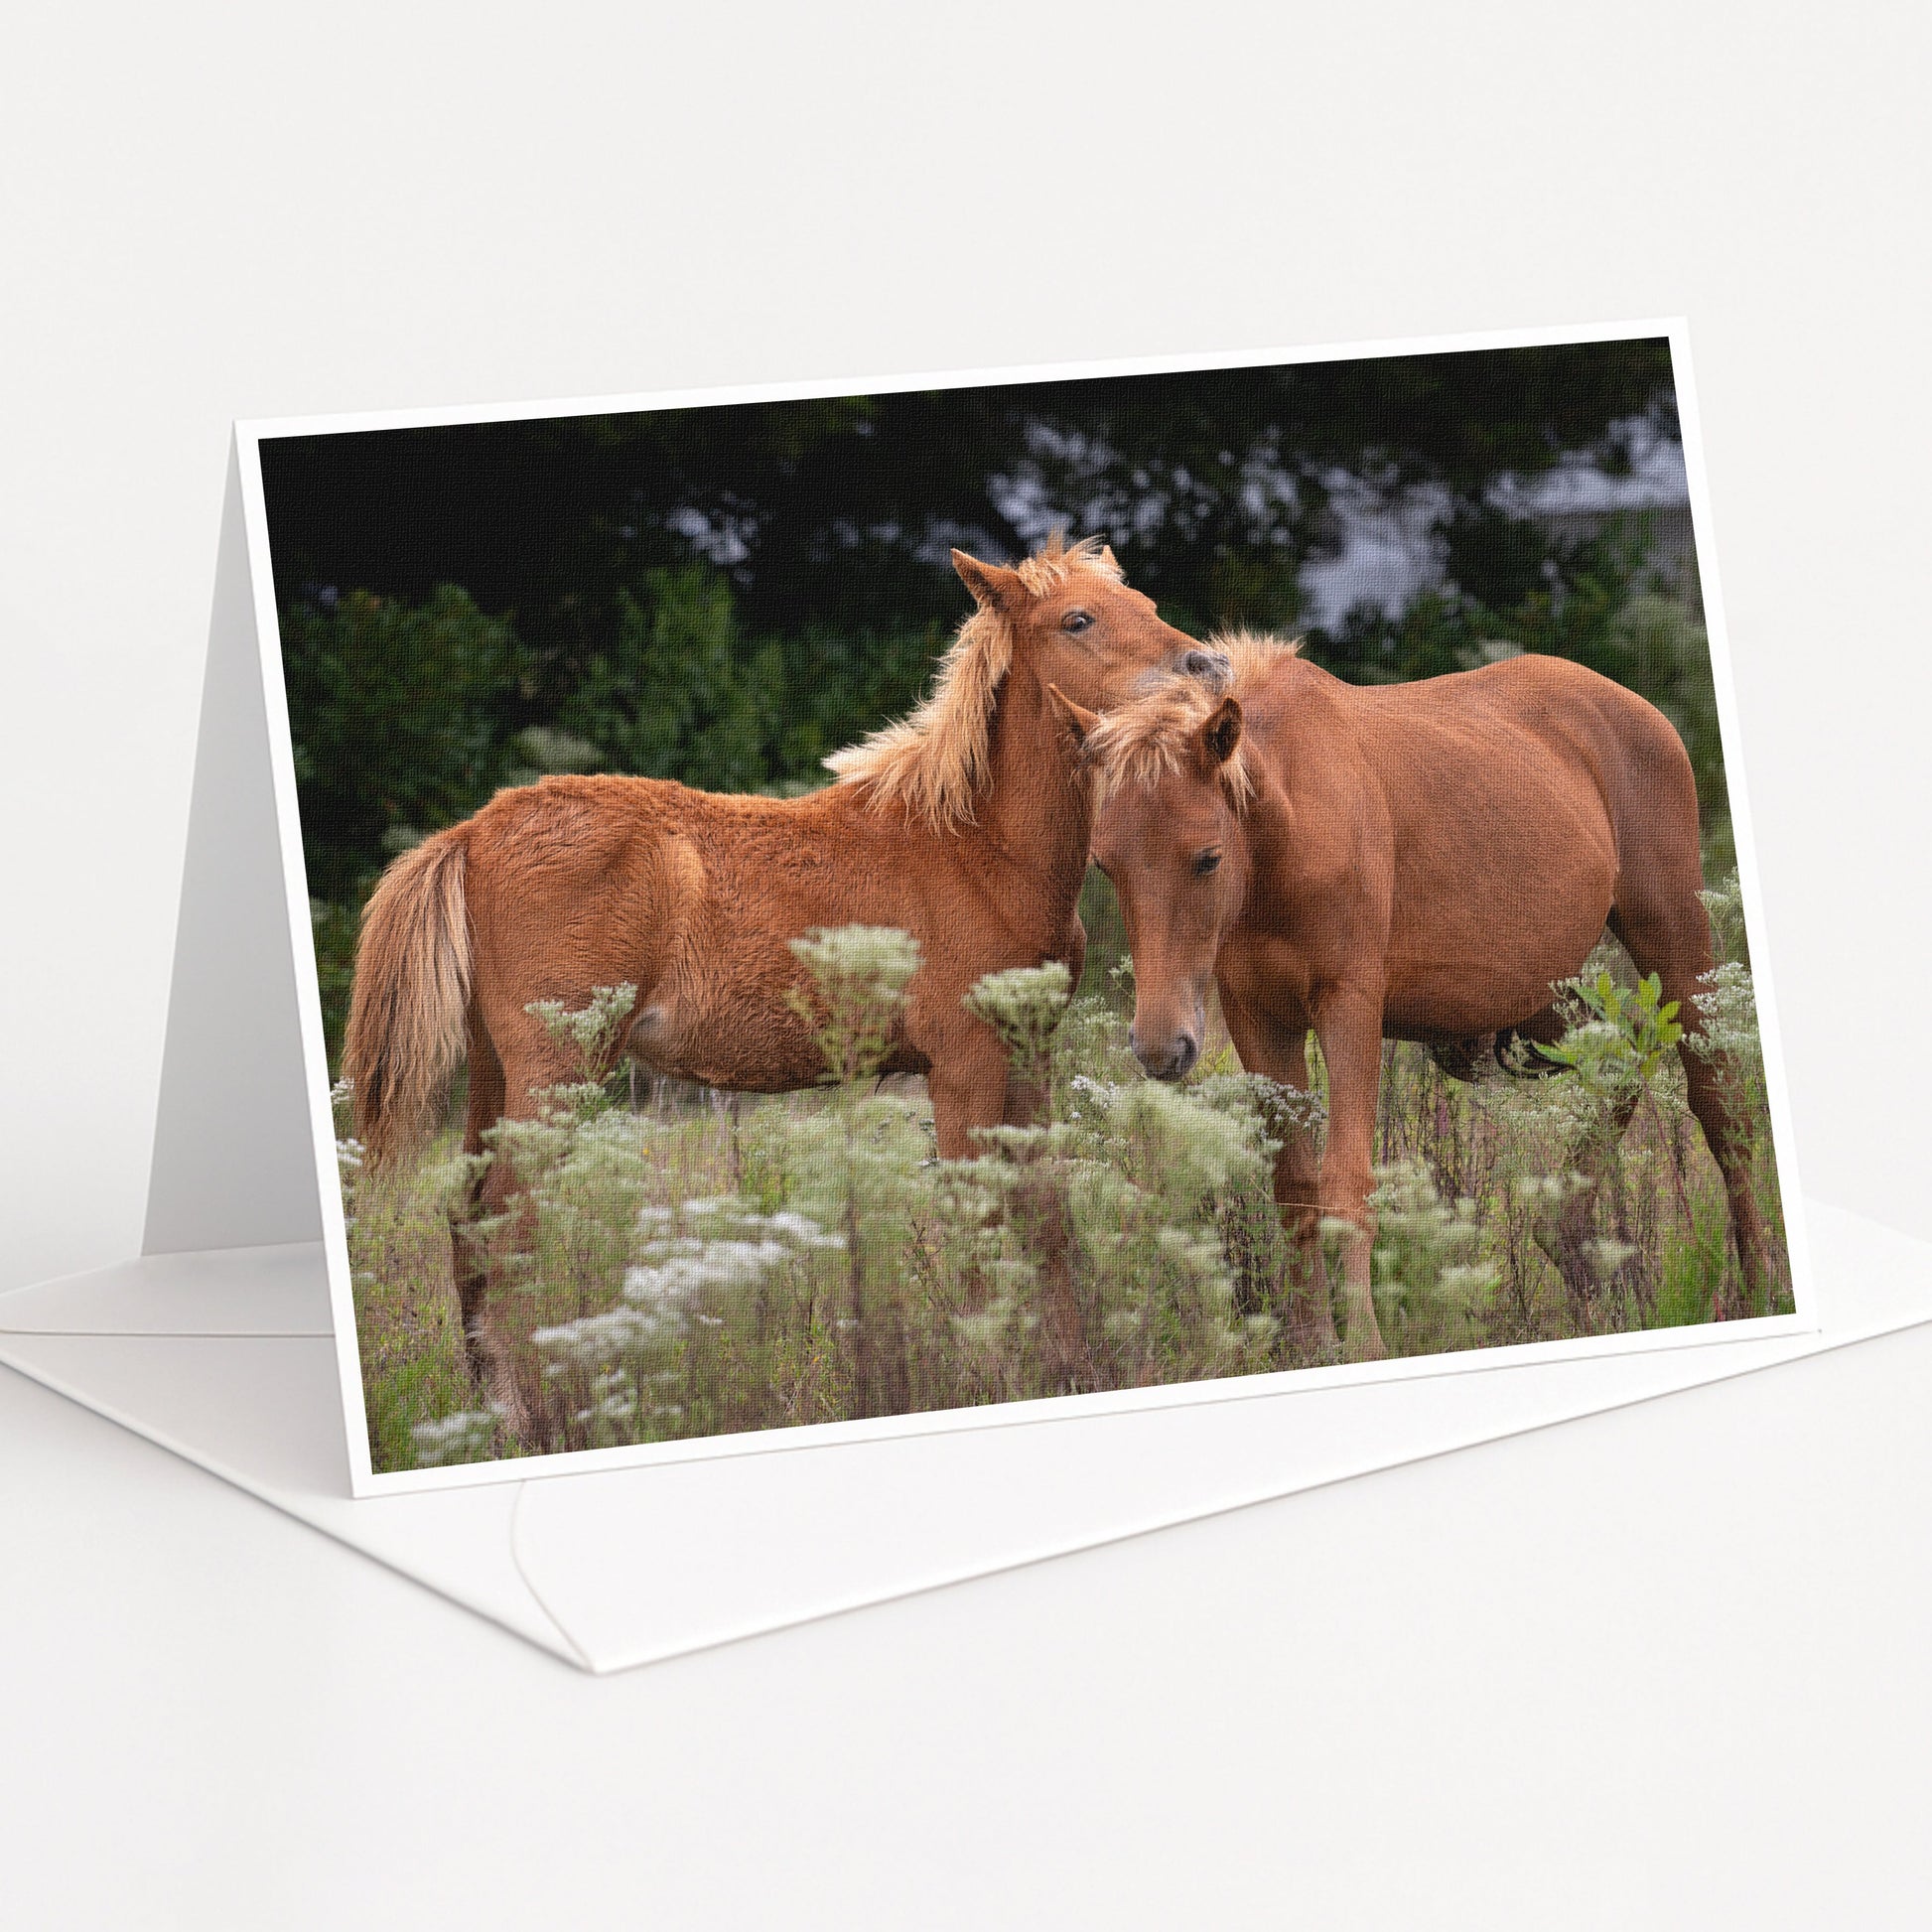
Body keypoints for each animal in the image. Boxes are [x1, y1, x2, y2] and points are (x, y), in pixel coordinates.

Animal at [343, 533, 1225, 1441]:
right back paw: (528, 1422)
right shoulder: (964, 1066)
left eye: (1147, 604)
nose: (1206, 665)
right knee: (505, 1225)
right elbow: (976, 1222)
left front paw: (1073, 1371)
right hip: (556, 1073)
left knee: (468, 1221)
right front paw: (996, 1375)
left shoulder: (1028, 1056)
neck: (975, 846)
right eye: (1077, 619)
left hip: (495, 1071)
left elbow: (1045, 1217)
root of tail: (472, 831)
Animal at [1067, 632, 1774, 1361]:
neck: (1288, 830)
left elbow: (1345, 1182)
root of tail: (1635, 709)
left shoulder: (1349, 1007)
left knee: (1719, 1108)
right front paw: (1311, 1343)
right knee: (1620, 1063)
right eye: (1105, 865)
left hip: (1673, 939)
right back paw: (1571, 1242)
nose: (1160, 1049)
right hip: (1545, 998)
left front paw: (1362, 1345)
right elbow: (1294, 1187)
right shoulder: (1256, 1017)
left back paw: (1755, 1285)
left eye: (1208, 858)